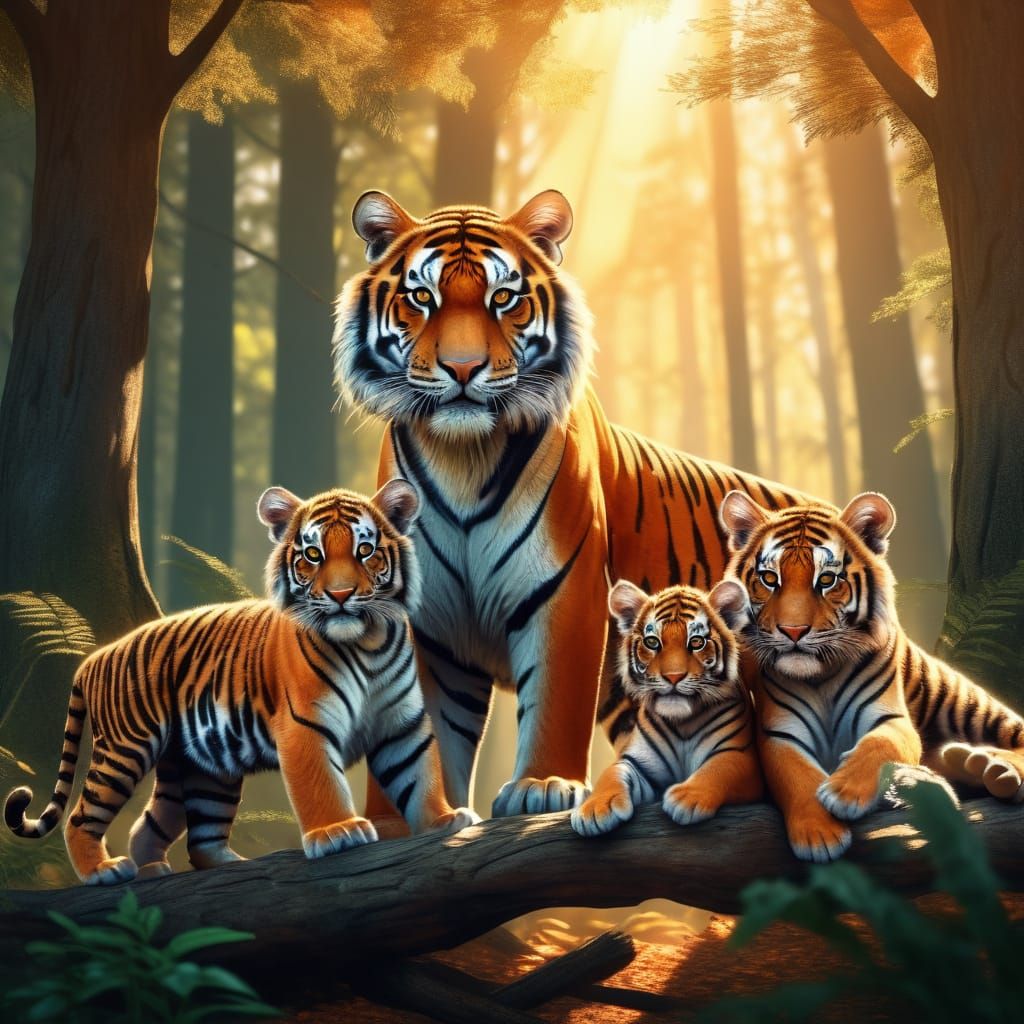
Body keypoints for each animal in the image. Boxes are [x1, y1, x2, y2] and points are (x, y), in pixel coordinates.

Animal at [3, 481, 477, 885]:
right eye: (313, 555)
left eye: (365, 551)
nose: (341, 595)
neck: (368, 643)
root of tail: (94, 658)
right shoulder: (305, 724)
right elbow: (321, 784)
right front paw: (339, 832)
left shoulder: (402, 723)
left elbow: (421, 772)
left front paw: (443, 819)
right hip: (126, 748)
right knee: (82, 815)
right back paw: (103, 871)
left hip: (205, 769)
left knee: (176, 832)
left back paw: (183, 867)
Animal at [570, 580, 762, 837]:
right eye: (652, 642)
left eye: (697, 642)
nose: (673, 676)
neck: (683, 722)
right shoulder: (639, 763)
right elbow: (612, 773)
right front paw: (594, 809)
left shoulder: (741, 756)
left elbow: (720, 767)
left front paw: (686, 798)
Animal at [715, 488, 1024, 862]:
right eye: (770, 579)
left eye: (827, 580)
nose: (793, 631)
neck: (821, 676)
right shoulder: (779, 733)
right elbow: (796, 774)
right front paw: (820, 835)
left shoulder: (892, 719)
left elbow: (880, 745)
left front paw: (842, 793)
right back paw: (963, 765)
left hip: (962, 701)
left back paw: (995, 769)